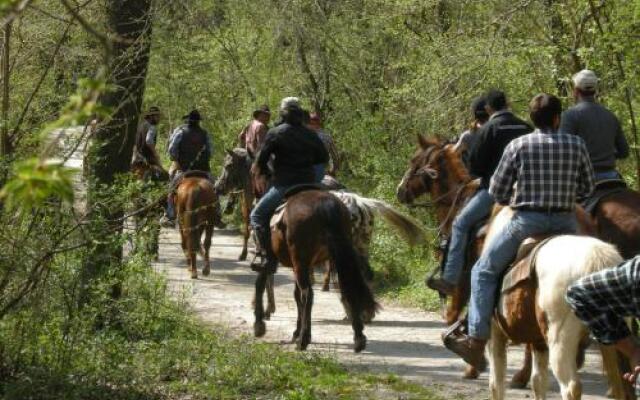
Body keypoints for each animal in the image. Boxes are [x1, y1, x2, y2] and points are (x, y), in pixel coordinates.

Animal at [252, 189, 378, 352]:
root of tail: (324, 205)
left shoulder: (271, 260)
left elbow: (260, 284)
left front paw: (259, 325)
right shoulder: (302, 266)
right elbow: (296, 295)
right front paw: (297, 332)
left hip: (302, 261)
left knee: (308, 294)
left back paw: (303, 341)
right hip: (337, 256)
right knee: (348, 288)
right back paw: (358, 339)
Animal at [484, 208, 624, 400]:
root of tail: (597, 261)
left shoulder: (495, 334)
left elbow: (496, 383)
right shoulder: (538, 342)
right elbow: (538, 381)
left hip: (560, 339)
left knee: (571, 387)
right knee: (618, 382)